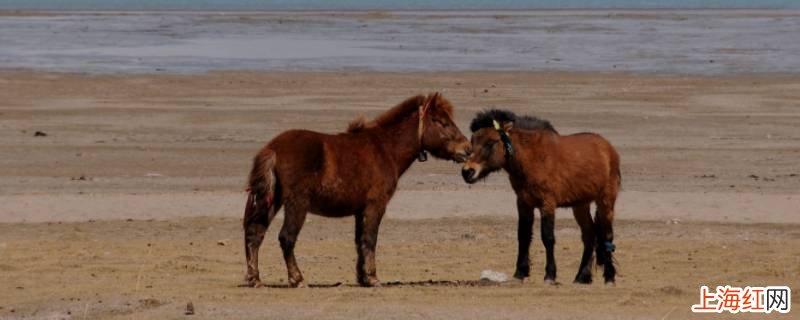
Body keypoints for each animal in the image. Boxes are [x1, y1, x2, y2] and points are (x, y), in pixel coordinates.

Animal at [244, 92, 468, 288]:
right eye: (440, 121)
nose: (466, 149)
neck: (385, 149)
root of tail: (272, 149)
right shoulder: (375, 205)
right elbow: (370, 240)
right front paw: (373, 278)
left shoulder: (360, 210)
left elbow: (359, 241)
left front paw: (362, 277)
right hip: (297, 204)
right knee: (286, 237)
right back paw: (297, 279)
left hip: (273, 200)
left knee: (255, 233)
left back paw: (255, 279)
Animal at [460, 110, 620, 284]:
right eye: (472, 141)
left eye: (491, 142)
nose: (467, 172)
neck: (532, 157)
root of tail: (608, 147)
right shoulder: (523, 203)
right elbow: (523, 235)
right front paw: (520, 272)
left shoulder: (547, 204)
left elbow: (547, 237)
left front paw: (550, 275)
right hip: (580, 205)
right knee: (589, 235)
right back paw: (581, 276)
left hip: (605, 201)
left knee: (607, 235)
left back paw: (609, 277)